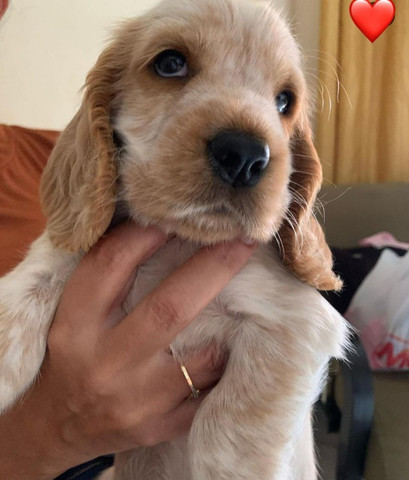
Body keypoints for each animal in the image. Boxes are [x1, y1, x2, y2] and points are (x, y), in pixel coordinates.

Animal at [0, 0, 348, 478]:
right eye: (170, 63)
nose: (245, 155)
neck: (178, 242)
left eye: (284, 101)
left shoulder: (299, 323)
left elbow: (226, 432)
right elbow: (31, 283)